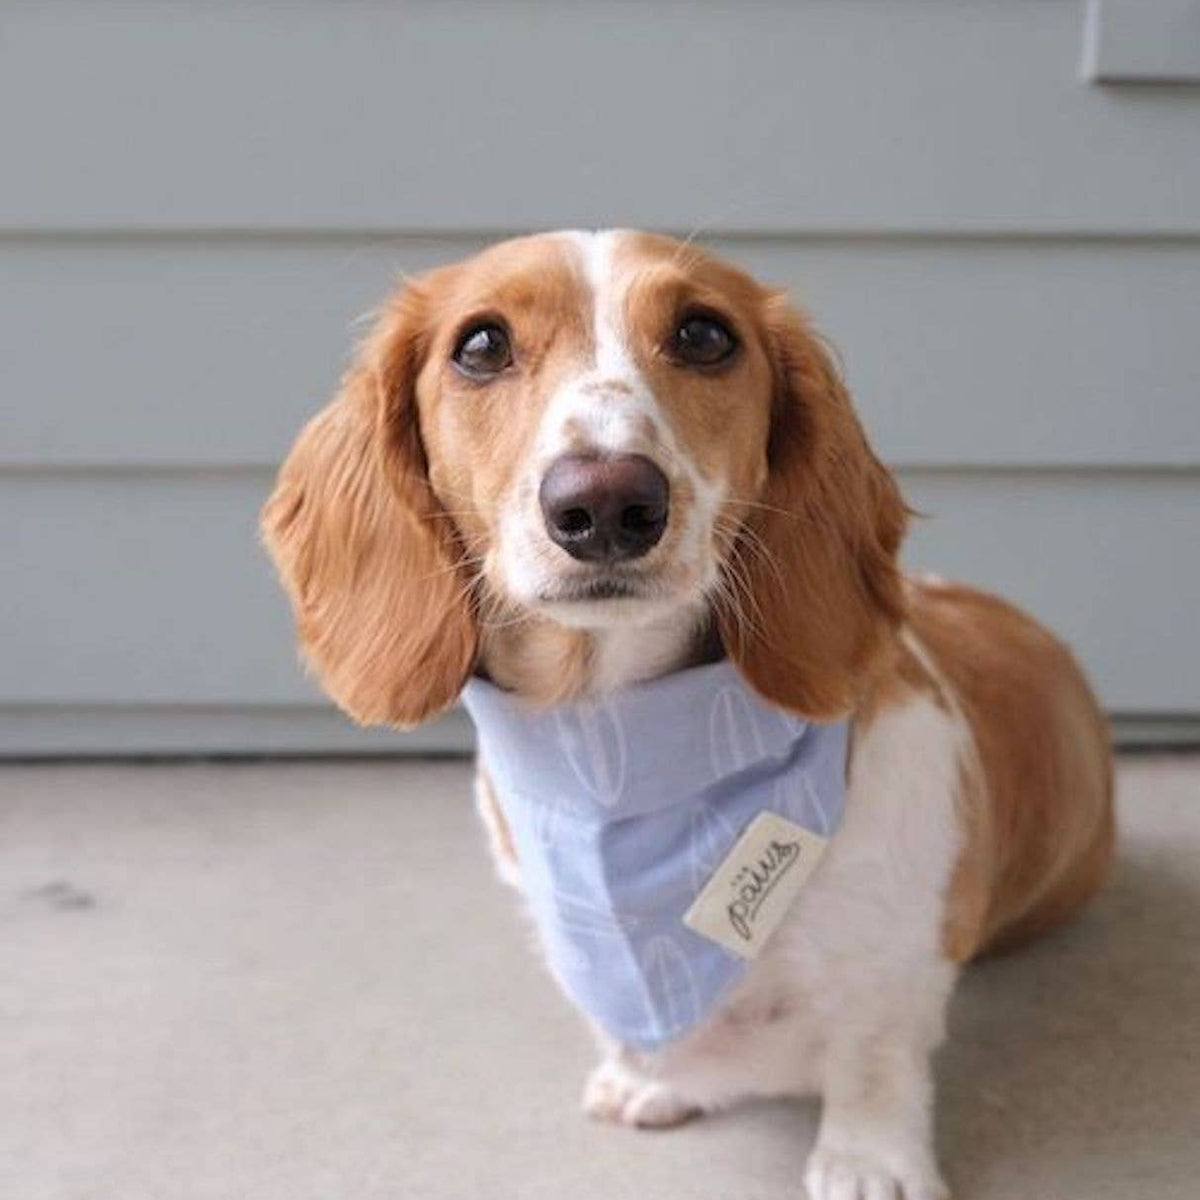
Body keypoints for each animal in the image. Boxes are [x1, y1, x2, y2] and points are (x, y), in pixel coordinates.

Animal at [265, 229, 1113, 1195]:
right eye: (480, 345)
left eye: (705, 335)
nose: (604, 503)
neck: (614, 746)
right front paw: (652, 1078)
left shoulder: (903, 947)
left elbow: (874, 1050)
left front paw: (869, 1160)